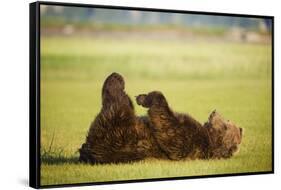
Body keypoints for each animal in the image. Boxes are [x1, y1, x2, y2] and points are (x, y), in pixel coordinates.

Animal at [79, 72, 243, 163]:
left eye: (226, 124)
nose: (214, 112)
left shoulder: (189, 138)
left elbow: (166, 125)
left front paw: (144, 98)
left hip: (116, 130)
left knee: (117, 102)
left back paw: (116, 79)